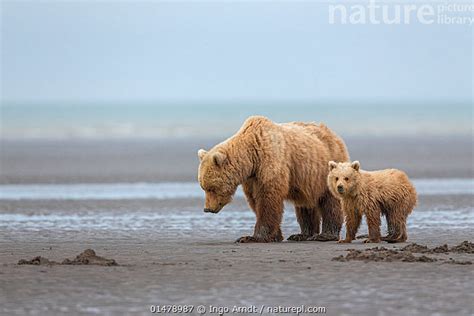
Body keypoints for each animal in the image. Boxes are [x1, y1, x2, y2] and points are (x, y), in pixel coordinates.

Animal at [196, 116, 348, 242]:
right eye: (203, 187)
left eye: (211, 188)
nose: (207, 209)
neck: (252, 158)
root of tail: (334, 135)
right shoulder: (251, 178)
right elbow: (255, 200)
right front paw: (275, 236)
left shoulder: (270, 163)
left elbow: (268, 198)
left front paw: (252, 237)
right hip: (306, 180)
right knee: (305, 204)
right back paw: (302, 234)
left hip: (327, 167)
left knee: (330, 202)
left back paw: (325, 235)